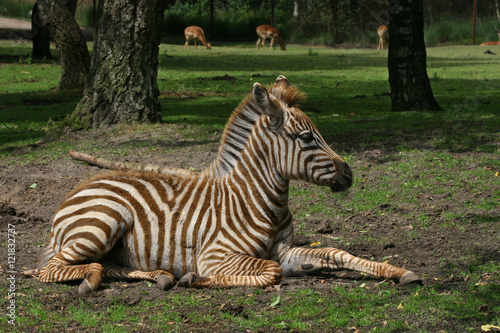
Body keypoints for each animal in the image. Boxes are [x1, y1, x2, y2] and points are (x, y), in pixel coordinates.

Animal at [33, 75, 420, 294]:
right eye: (307, 138)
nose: (350, 174)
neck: (261, 200)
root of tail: (81, 185)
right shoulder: (216, 256)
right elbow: (270, 272)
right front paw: (195, 280)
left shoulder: (283, 250)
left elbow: (335, 253)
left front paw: (398, 272)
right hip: (102, 225)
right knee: (50, 269)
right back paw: (92, 279)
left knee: (108, 266)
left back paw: (158, 276)